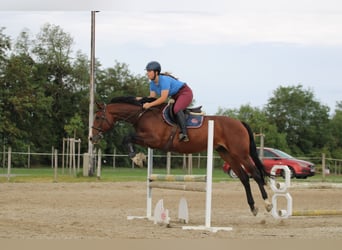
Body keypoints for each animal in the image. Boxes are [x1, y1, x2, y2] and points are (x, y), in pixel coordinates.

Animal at [89, 95, 272, 215]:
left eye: (97, 117)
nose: (92, 138)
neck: (144, 115)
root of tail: (239, 122)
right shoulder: (148, 141)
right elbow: (127, 138)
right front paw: (139, 157)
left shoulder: (154, 140)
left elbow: (126, 137)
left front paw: (137, 158)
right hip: (227, 154)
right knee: (244, 178)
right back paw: (253, 207)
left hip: (241, 153)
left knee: (255, 174)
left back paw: (268, 204)